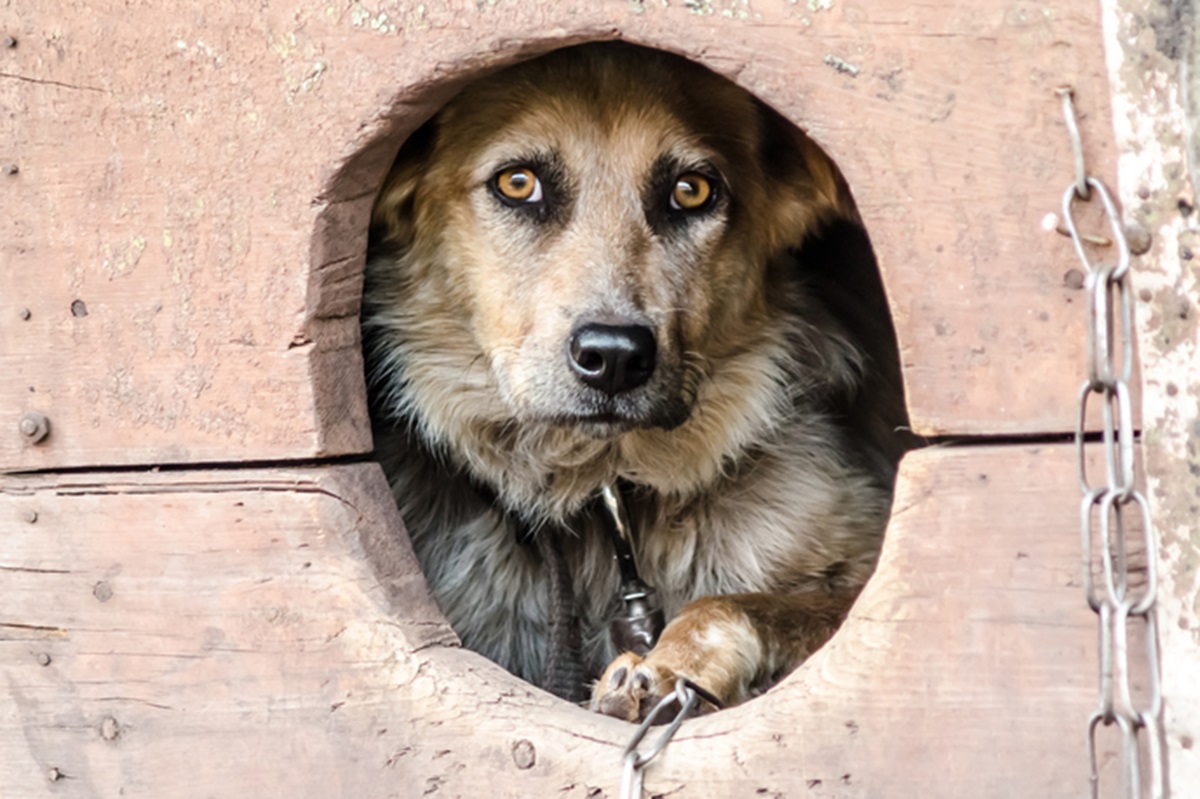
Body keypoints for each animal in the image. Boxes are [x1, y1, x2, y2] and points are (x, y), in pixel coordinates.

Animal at [360, 40, 902, 719]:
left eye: (692, 191)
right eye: (518, 183)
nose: (615, 356)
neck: (603, 491)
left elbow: (739, 605)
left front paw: (665, 668)